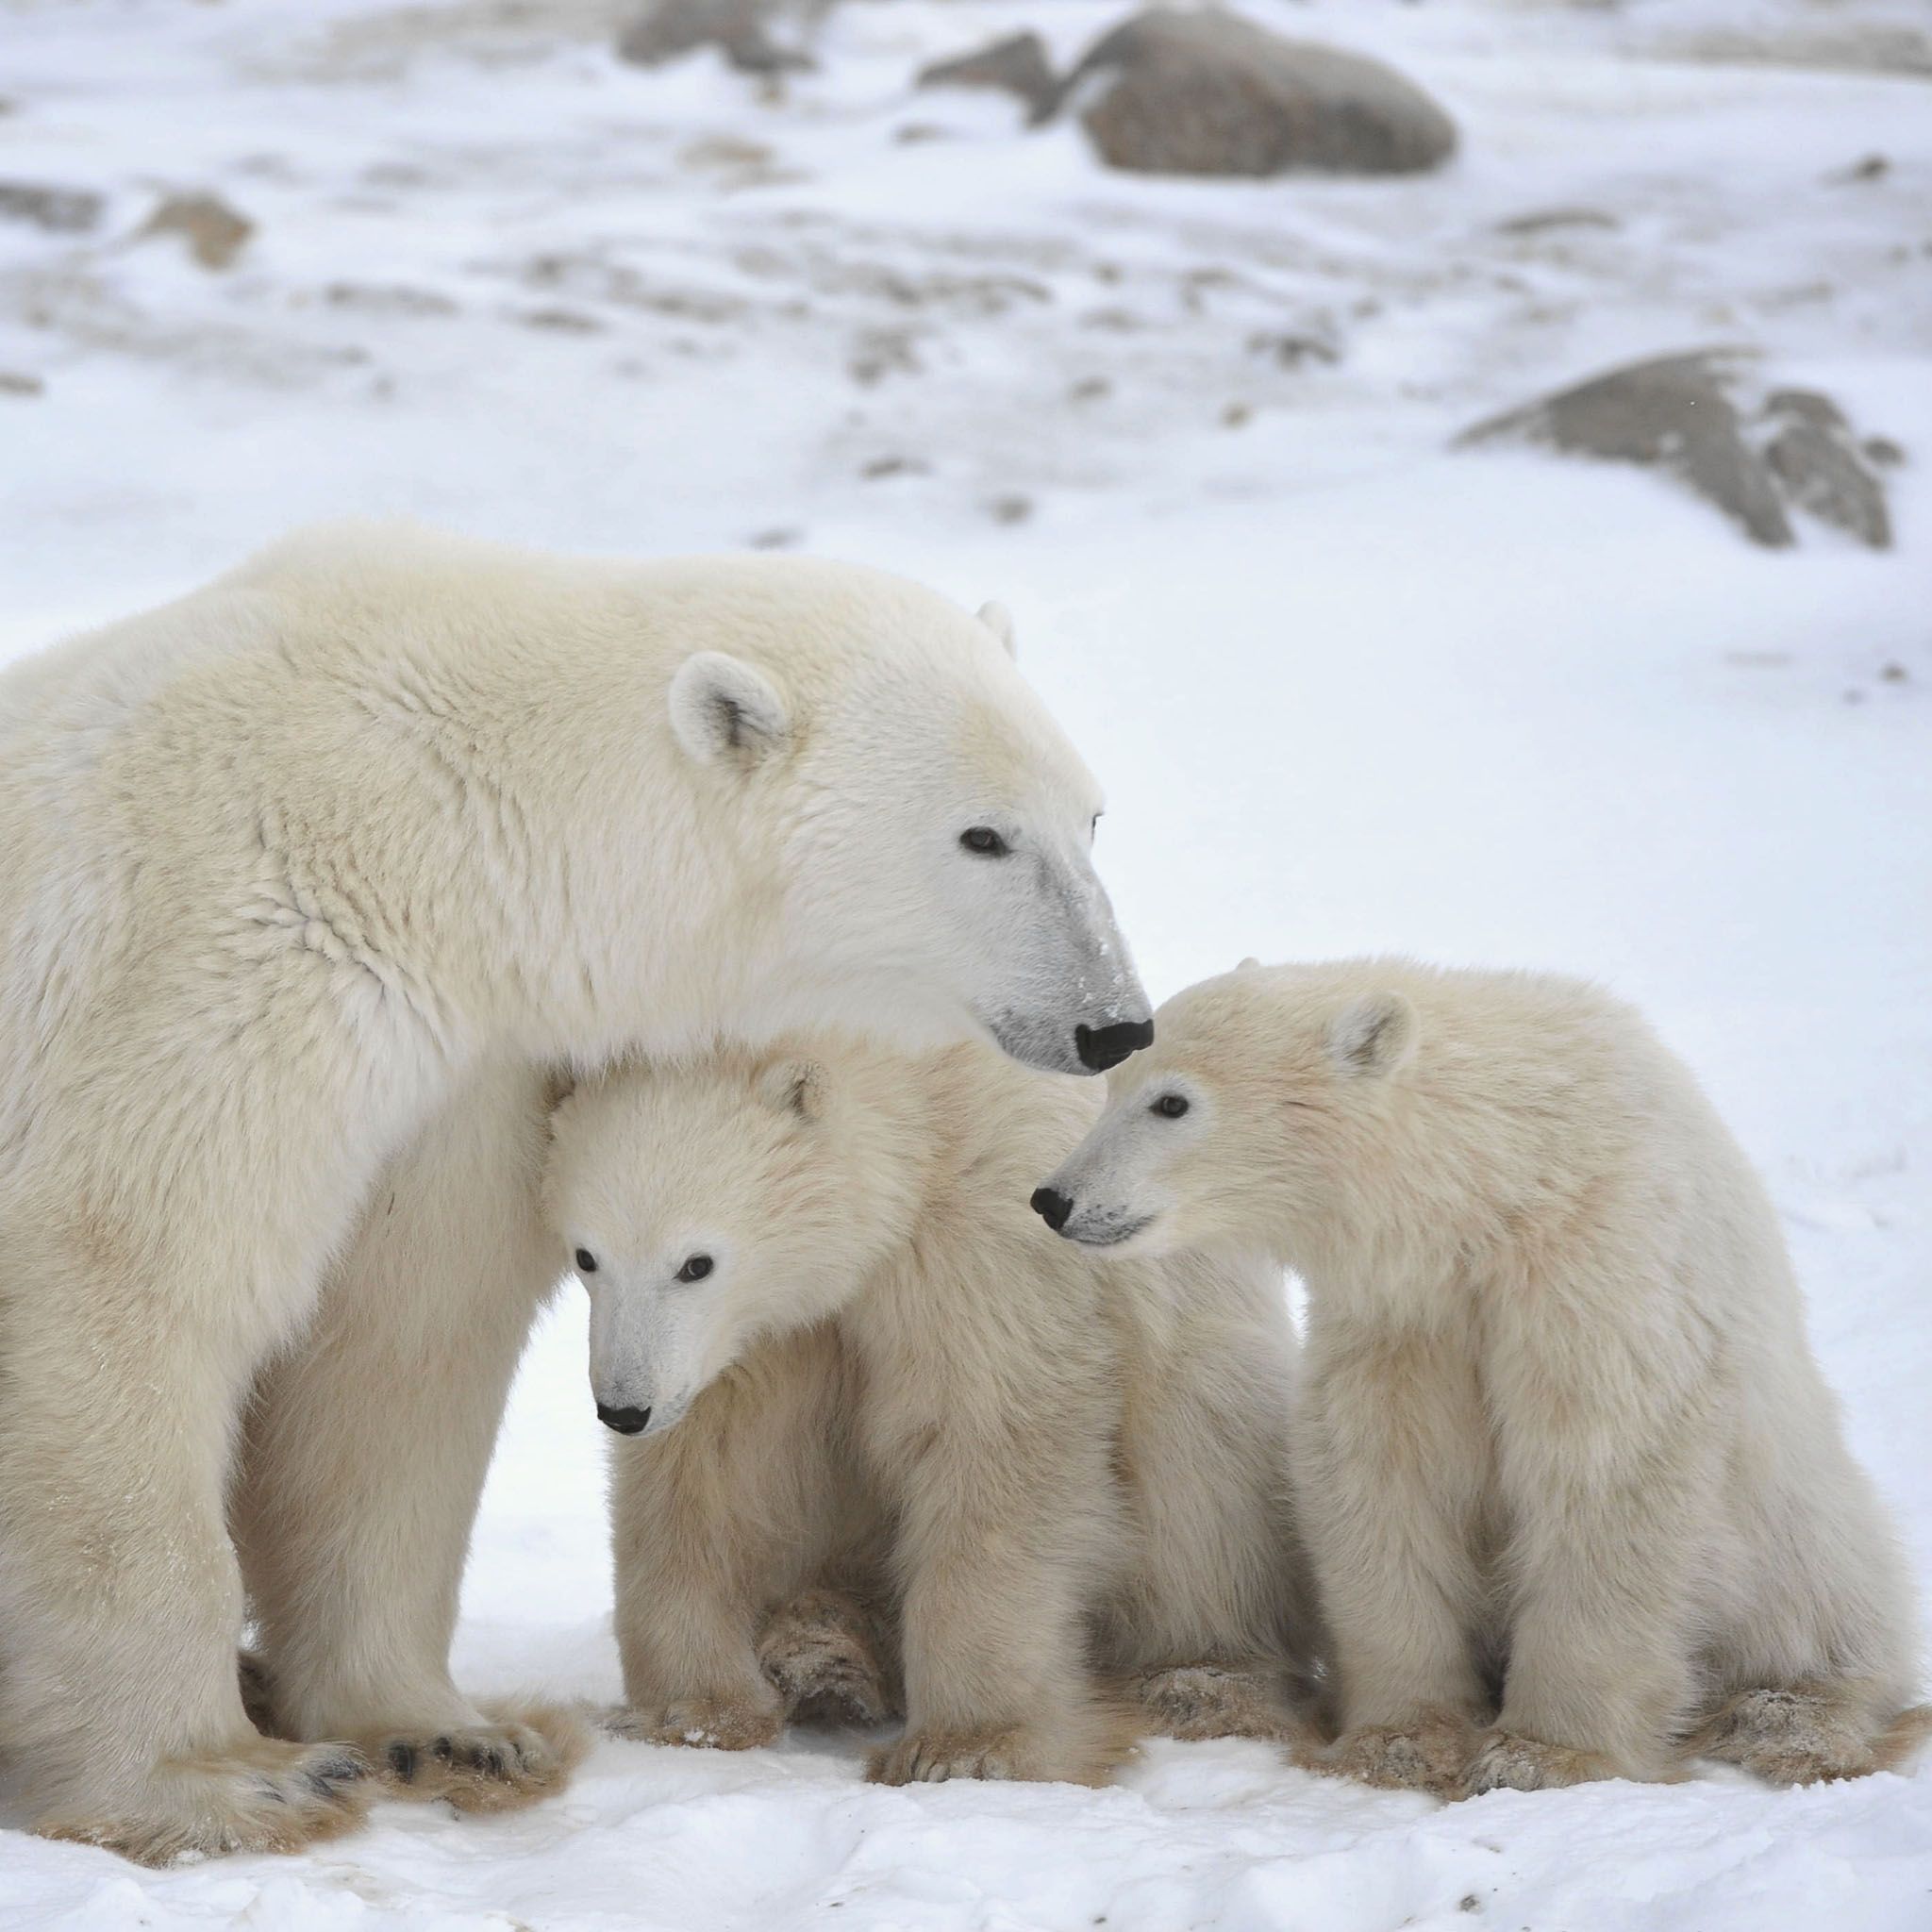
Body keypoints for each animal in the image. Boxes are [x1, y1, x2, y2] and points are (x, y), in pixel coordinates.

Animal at [0, 521, 1143, 1862]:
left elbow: (397, 1347)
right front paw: (224, 1780)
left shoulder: (460, 1076)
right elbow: (116, 1277)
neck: (438, 814)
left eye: (1091, 815)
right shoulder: (213, 953)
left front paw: (445, 1731)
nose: (1117, 1022)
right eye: (981, 835)